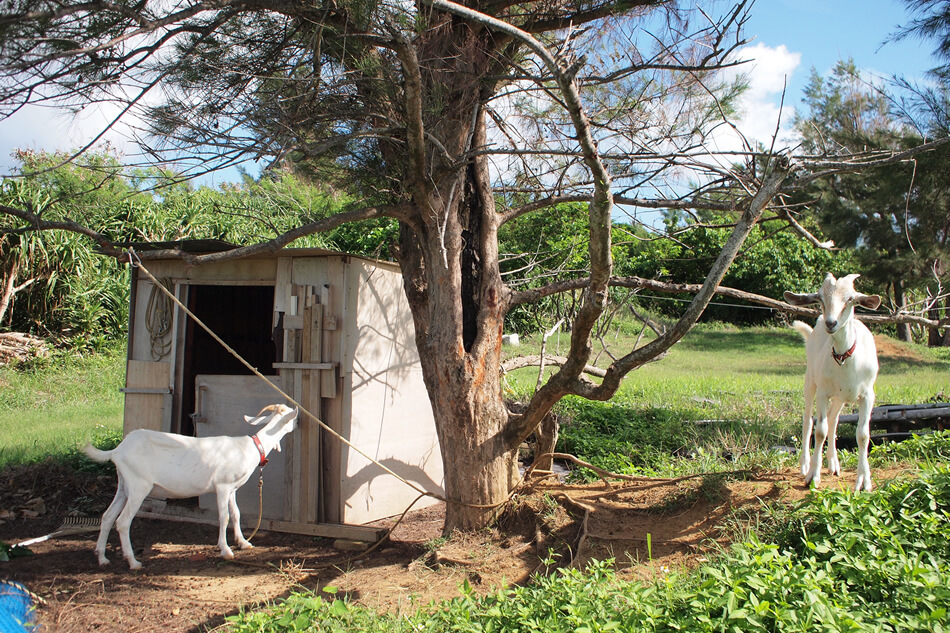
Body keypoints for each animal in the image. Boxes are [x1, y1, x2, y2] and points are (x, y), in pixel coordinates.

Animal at [83, 402, 298, 572]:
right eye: (290, 414)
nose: (298, 421)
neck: (249, 448)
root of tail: (118, 450)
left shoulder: (232, 489)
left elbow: (236, 513)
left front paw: (243, 542)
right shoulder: (222, 486)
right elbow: (224, 517)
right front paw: (226, 550)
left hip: (124, 486)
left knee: (108, 516)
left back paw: (102, 558)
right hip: (138, 486)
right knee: (123, 521)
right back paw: (133, 562)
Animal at [784, 274, 880, 492]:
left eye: (851, 299)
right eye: (820, 298)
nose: (831, 323)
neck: (845, 357)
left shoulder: (868, 394)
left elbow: (863, 435)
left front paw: (864, 481)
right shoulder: (823, 392)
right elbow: (820, 431)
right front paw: (813, 476)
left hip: (841, 396)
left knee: (833, 419)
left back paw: (833, 463)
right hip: (810, 380)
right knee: (809, 420)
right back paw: (805, 464)